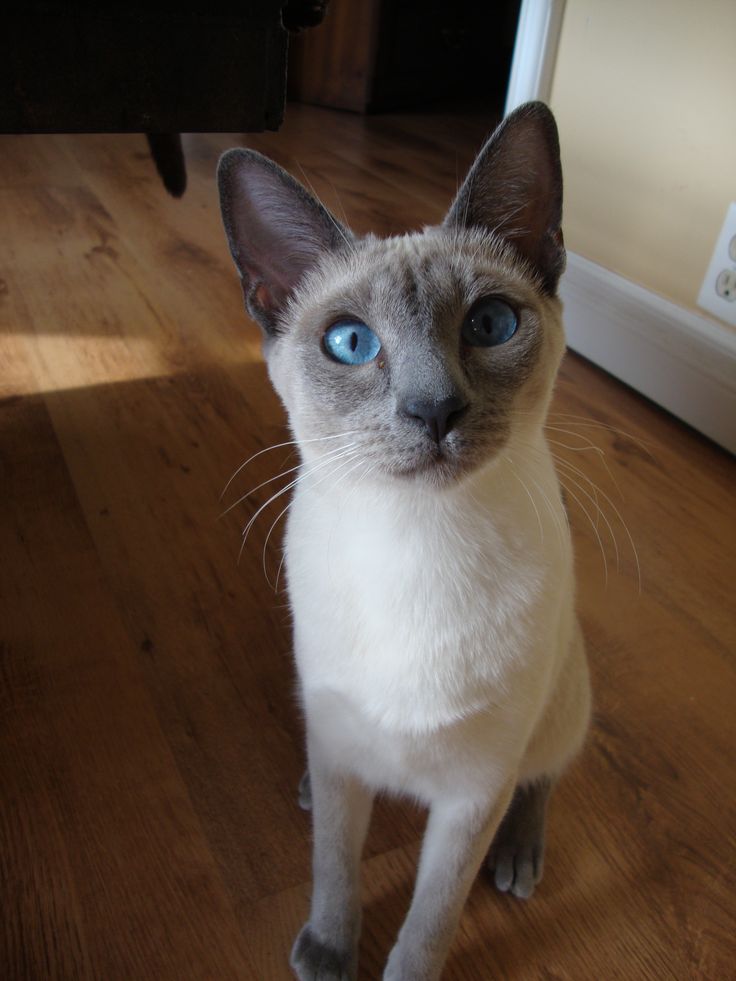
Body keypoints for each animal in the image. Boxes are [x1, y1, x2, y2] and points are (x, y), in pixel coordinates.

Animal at [218, 103, 592, 976]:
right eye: (351, 343)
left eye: (490, 325)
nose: (434, 410)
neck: (418, 545)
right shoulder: (343, 753)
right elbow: (334, 866)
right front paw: (329, 951)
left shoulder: (472, 794)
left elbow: (430, 918)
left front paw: (400, 967)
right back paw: (307, 787)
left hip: (562, 698)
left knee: (546, 772)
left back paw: (519, 857)